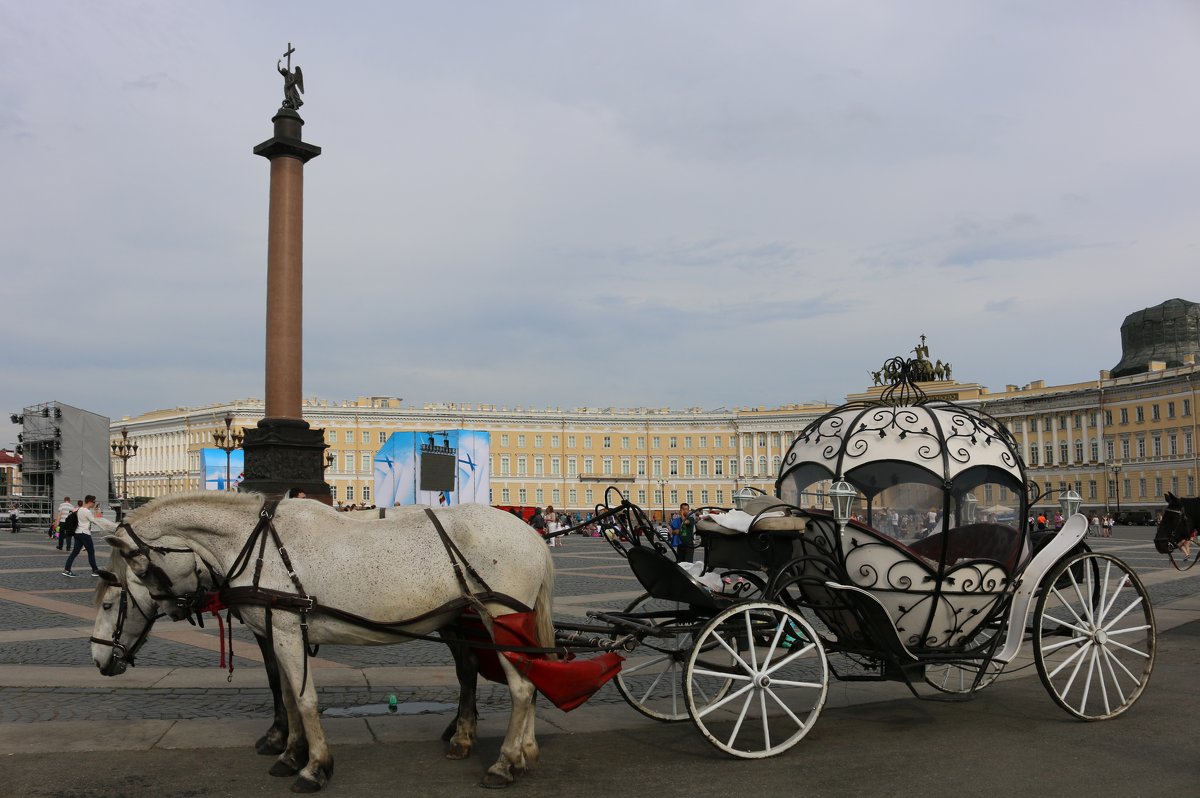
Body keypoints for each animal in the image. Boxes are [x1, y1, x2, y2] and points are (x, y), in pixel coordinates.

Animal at [92, 492, 552, 792]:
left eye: (113, 600)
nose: (99, 661)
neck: (255, 545)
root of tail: (532, 535)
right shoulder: (278, 632)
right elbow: (289, 698)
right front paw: (288, 753)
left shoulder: (285, 630)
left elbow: (305, 700)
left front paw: (314, 768)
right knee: (517, 678)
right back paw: (520, 752)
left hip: (499, 620)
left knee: (521, 687)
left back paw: (503, 764)